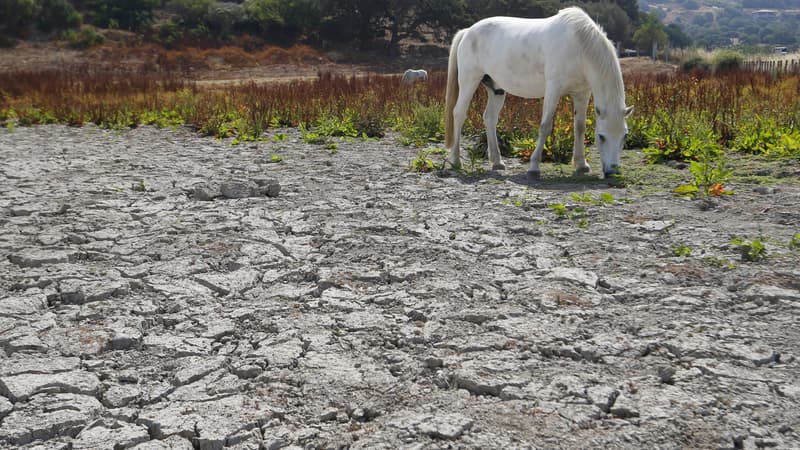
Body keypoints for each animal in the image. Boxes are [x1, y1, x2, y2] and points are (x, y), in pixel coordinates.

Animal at [444, 7, 632, 177]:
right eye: (601, 137)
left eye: (624, 136)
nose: (612, 172)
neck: (578, 46)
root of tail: (467, 31)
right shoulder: (553, 90)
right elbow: (545, 126)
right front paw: (534, 166)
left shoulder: (582, 93)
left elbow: (580, 127)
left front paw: (581, 165)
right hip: (469, 81)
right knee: (459, 113)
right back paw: (456, 161)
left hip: (496, 89)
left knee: (489, 118)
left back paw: (497, 162)